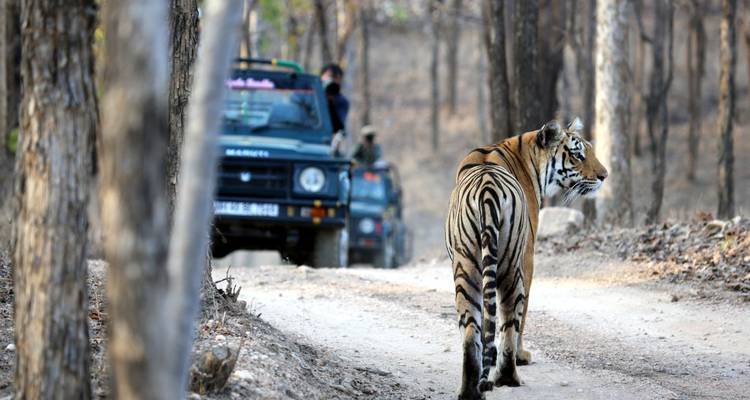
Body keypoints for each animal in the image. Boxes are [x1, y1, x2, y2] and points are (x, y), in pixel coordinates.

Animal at [444, 118, 608, 399]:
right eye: (578, 154)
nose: (603, 176)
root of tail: (487, 188)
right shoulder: (528, 257)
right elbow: (523, 313)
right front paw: (522, 356)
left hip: (466, 268)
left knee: (470, 331)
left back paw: (469, 390)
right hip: (511, 265)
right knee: (511, 319)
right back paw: (509, 375)